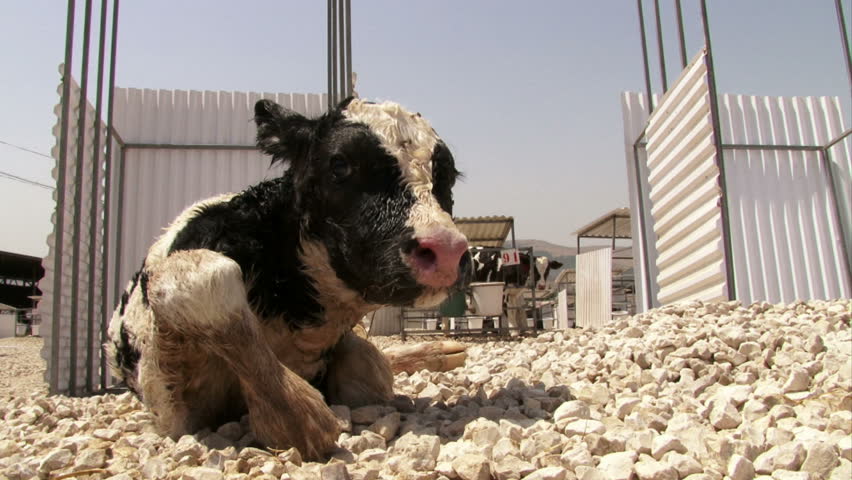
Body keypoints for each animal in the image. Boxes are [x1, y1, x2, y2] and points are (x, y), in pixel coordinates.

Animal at [106, 98, 469, 460]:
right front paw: (297, 418)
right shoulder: (170, 407)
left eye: (449, 176)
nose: (447, 249)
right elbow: (210, 279)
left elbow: (370, 369)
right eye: (340, 165)